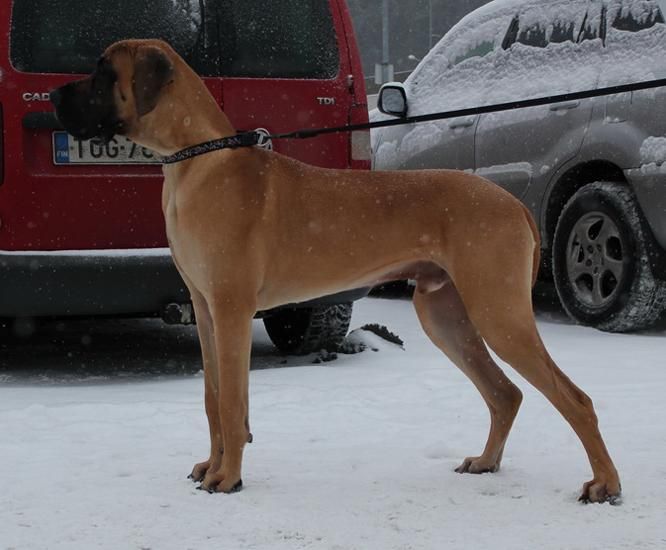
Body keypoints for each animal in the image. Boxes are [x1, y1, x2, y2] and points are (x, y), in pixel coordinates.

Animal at [50, 39, 620, 503]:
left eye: (103, 73)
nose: (52, 98)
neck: (196, 160)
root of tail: (513, 202)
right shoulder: (206, 310)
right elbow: (214, 399)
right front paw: (211, 466)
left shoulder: (231, 309)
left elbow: (231, 402)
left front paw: (228, 478)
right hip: (445, 314)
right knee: (506, 393)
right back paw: (486, 462)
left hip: (497, 310)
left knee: (577, 398)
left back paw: (605, 484)